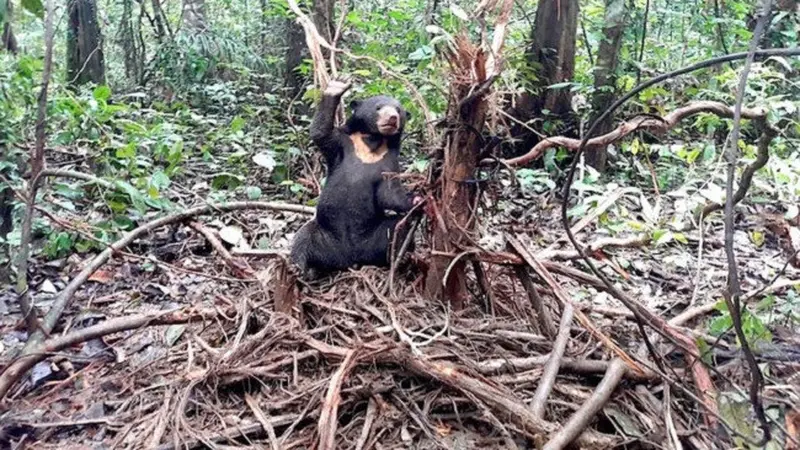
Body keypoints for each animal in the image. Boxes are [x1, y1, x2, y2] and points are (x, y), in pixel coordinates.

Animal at [292, 79, 418, 280]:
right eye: (378, 107)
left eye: (398, 110)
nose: (392, 118)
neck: (373, 142)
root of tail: (349, 259)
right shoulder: (341, 144)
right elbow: (320, 133)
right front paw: (337, 86)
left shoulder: (389, 162)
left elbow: (389, 193)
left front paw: (417, 198)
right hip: (323, 234)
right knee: (302, 238)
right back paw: (302, 270)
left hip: (374, 239)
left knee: (398, 227)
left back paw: (402, 259)